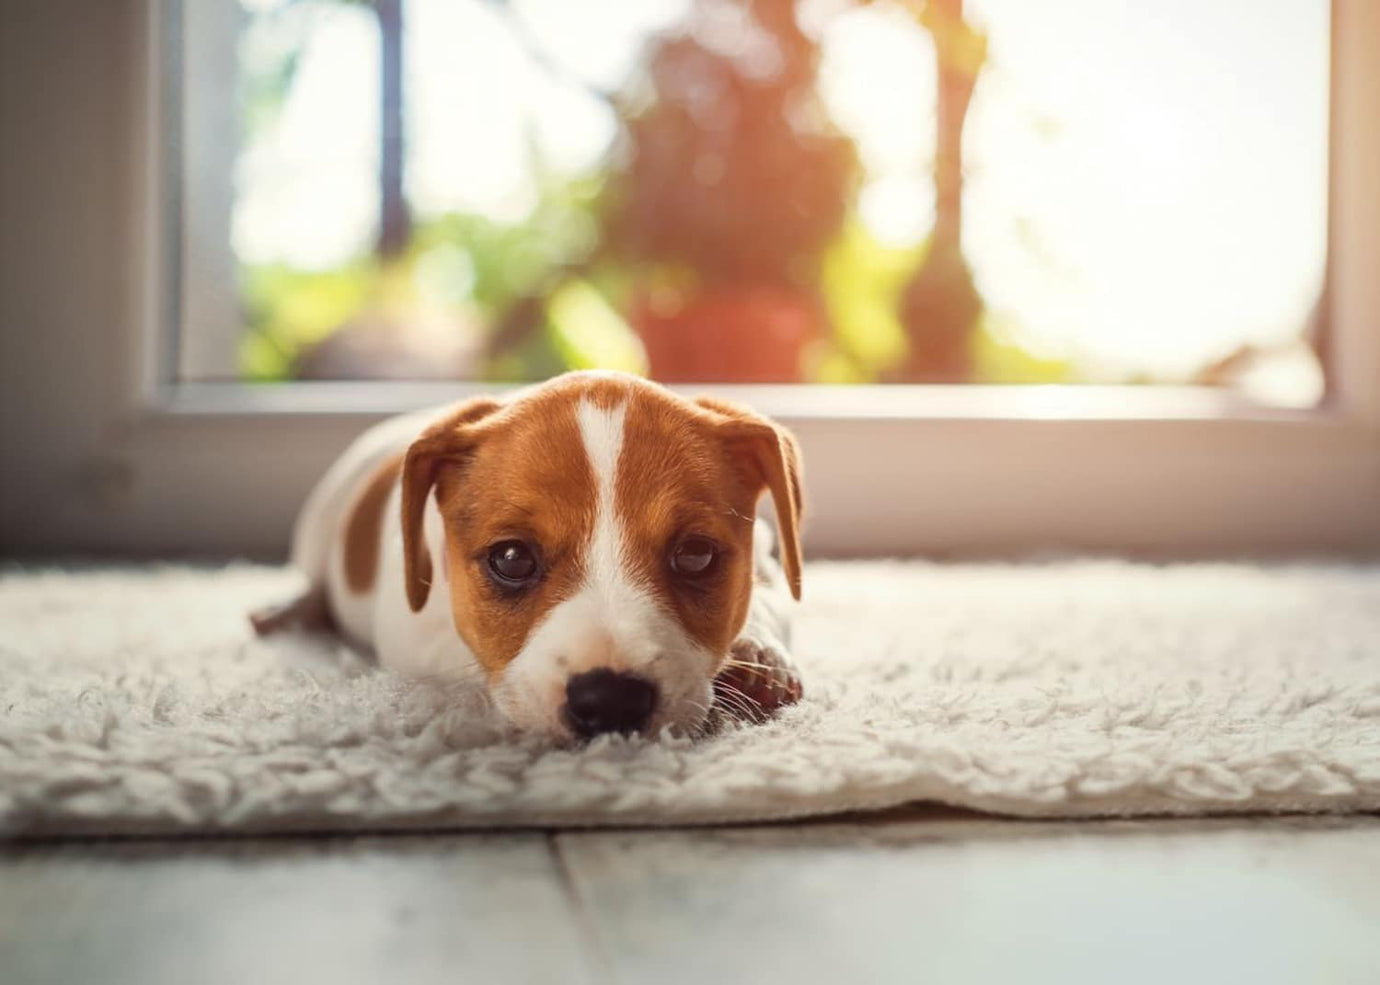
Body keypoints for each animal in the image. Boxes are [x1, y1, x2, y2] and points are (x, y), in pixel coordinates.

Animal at [253, 372, 805, 739]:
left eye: (695, 554)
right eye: (512, 558)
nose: (611, 701)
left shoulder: (767, 557)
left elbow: (771, 596)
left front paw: (759, 656)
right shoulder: (409, 629)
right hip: (318, 522)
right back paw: (286, 611)